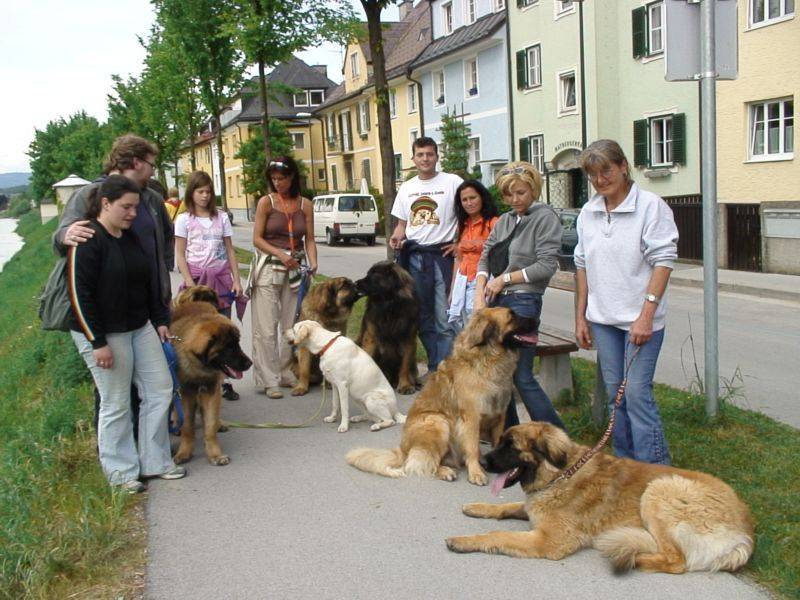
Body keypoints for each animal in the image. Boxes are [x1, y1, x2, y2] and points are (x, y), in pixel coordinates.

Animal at [170, 288, 252, 466]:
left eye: (238, 344)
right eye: (229, 348)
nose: (249, 363)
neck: (200, 367)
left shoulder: (210, 390)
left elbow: (210, 424)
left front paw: (215, 454)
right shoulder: (186, 393)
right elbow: (187, 426)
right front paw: (184, 452)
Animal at [346, 308, 536, 486]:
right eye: (511, 316)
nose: (536, 320)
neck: (488, 359)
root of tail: (403, 448)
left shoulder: (499, 415)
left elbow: (497, 442)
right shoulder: (471, 418)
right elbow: (473, 447)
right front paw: (476, 472)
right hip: (438, 421)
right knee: (425, 462)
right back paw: (445, 471)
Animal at [354, 262, 418, 394]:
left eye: (373, 275)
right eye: (368, 273)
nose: (355, 283)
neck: (389, 307)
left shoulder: (409, 340)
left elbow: (405, 366)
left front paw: (405, 385)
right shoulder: (371, 337)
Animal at [446, 420, 752, 576]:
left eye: (511, 446)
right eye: (500, 442)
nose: (481, 462)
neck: (562, 472)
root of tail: (745, 533)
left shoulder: (549, 540)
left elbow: (497, 534)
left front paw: (463, 541)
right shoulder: (535, 508)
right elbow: (507, 507)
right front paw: (478, 507)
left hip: (660, 490)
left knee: (677, 562)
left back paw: (634, 558)